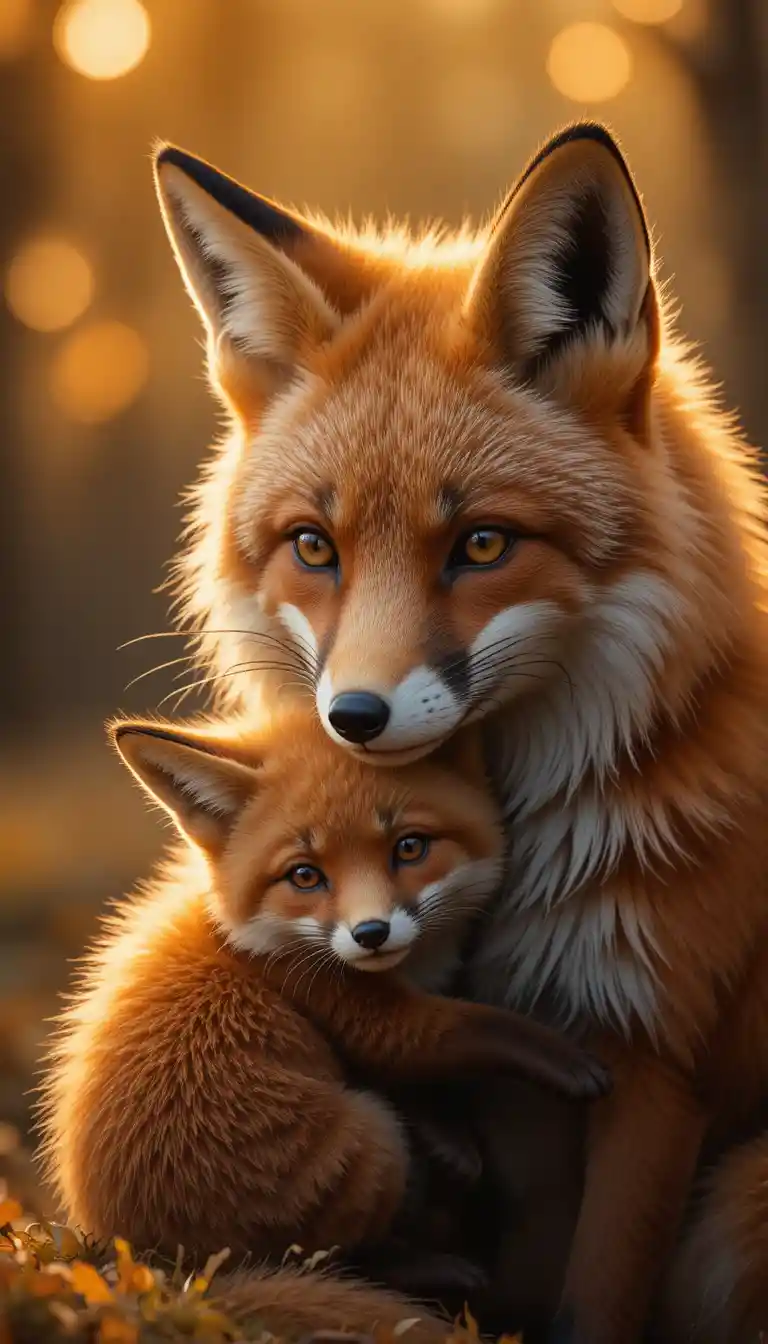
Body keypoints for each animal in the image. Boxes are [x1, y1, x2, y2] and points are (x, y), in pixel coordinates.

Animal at [39, 705, 609, 1340]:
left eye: (410, 847)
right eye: (305, 876)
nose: (371, 934)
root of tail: (149, 1264)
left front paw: (452, 1138)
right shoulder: (343, 1001)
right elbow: (460, 1032)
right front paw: (566, 1060)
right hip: (371, 1141)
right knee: (335, 1259)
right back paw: (432, 1269)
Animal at [144, 119, 768, 1344]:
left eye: (481, 545)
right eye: (315, 546)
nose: (352, 718)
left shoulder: (659, 1059)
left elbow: (594, 1302)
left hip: (735, 1215)